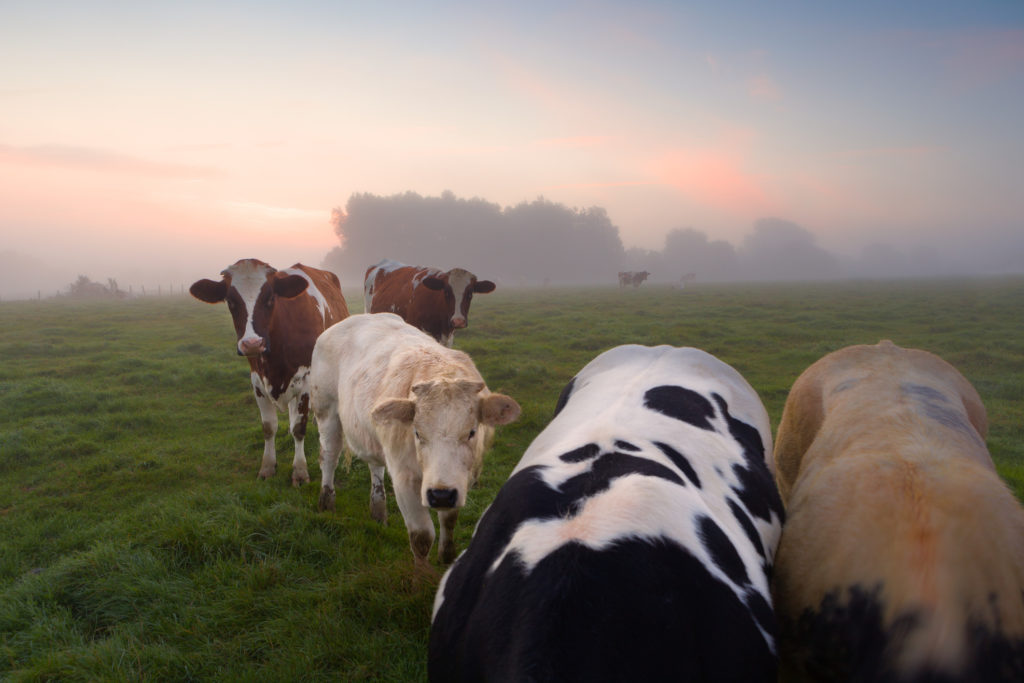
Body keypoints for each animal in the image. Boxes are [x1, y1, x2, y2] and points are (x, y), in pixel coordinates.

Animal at [190, 259, 350, 489]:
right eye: (230, 301)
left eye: (270, 298)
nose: (252, 343)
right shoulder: (257, 381)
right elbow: (268, 427)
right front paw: (267, 467)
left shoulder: (305, 381)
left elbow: (298, 427)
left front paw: (300, 471)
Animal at [307, 313, 520, 565]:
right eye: (417, 432)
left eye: (471, 432)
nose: (440, 495)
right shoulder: (404, 479)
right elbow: (422, 537)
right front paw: (421, 574)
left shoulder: (458, 479)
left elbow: (449, 520)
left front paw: (447, 558)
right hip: (326, 411)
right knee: (329, 456)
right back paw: (326, 501)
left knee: (375, 467)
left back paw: (378, 511)